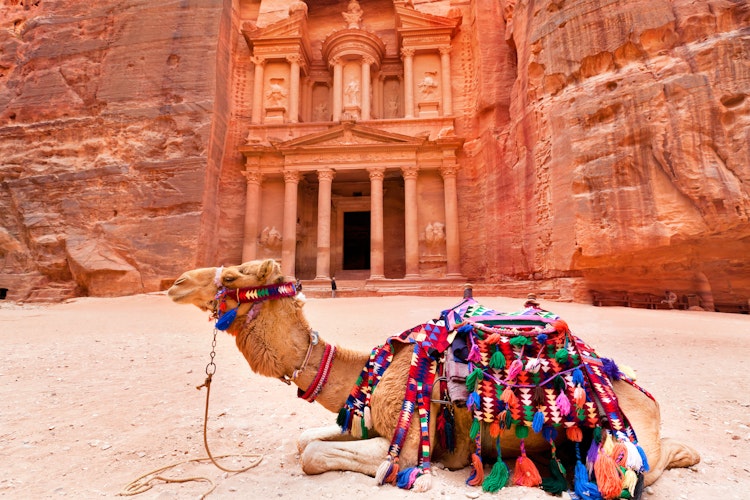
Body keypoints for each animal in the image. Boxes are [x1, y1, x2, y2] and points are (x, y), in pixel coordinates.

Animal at [167, 259, 700, 495]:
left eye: (233, 275)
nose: (176, 282)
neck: (371, 370)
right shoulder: (363, 418)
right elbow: (303, 440)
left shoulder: (403, 443)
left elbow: (316, 456)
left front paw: (417, 480)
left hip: (623, 440)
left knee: (647, 462)